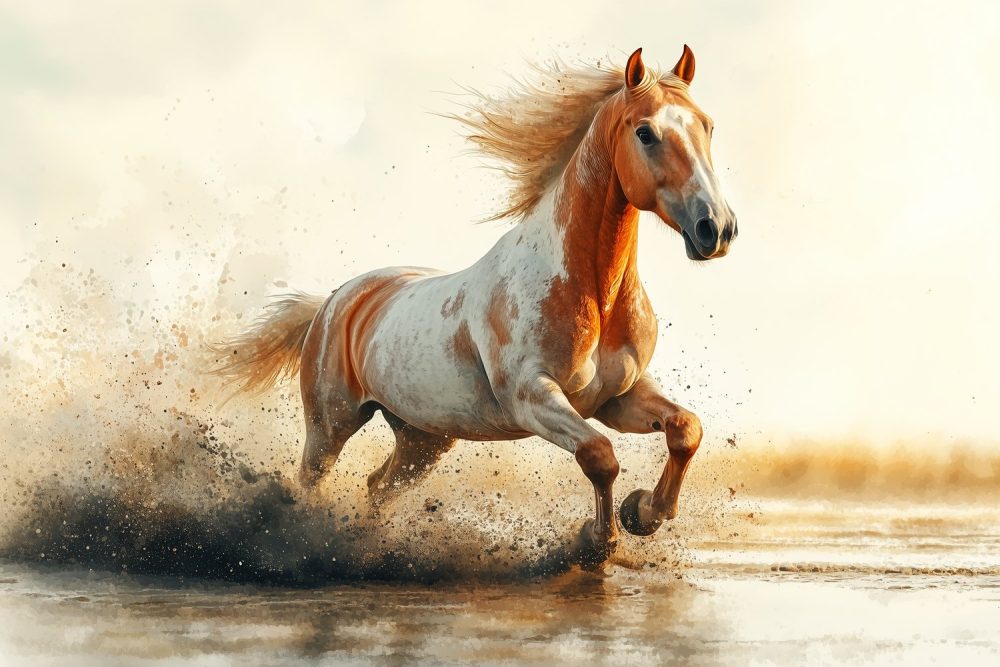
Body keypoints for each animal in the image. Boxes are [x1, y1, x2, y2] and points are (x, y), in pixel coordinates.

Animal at [215, 46, 737, 566]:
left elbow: (685, 429)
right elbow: (599, 457)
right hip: (330, 425)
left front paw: (643, 512)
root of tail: (334, 300)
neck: (591, 292)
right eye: (645, 133)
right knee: (311, 482)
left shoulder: (616, 397)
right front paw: (598, 542)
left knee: (379, 486)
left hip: (423, 438)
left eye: (708, 125)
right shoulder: (532, 398)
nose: (716, 228)